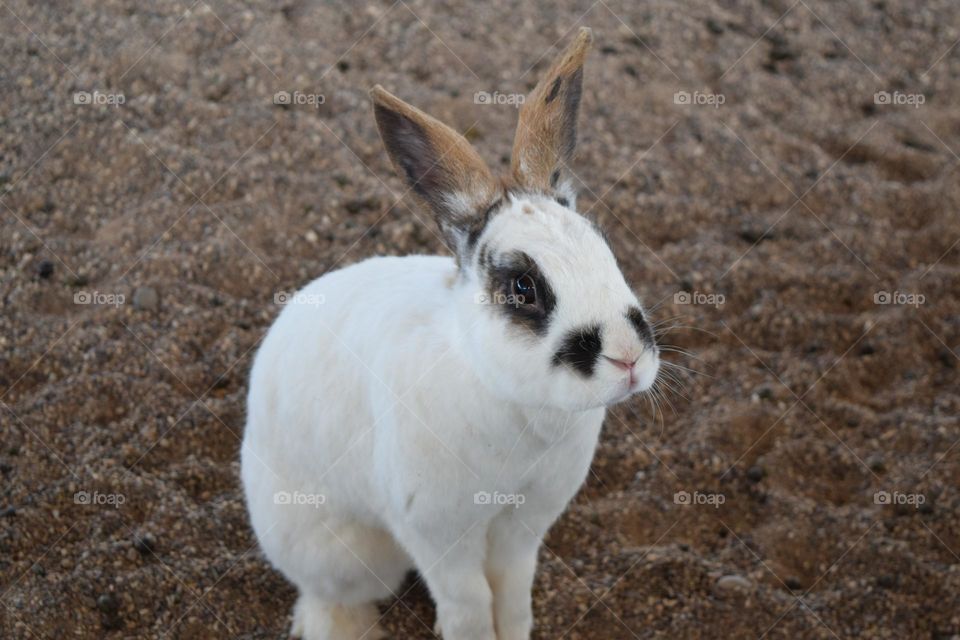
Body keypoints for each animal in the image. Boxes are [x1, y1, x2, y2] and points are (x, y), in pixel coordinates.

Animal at [241, 27, 660, 640]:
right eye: (523, 287)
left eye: (603, 246)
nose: (628, 358)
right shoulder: (438, 533)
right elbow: (467, 602)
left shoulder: (523, 527)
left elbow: (511, 591)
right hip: (344, 555)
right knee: (326, 595)